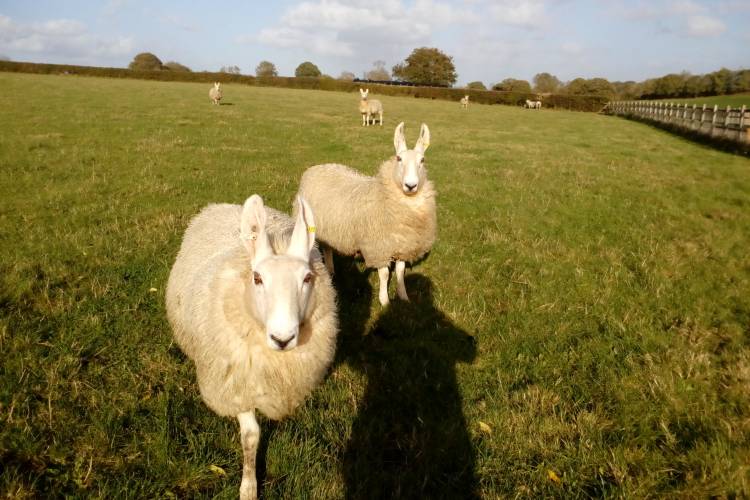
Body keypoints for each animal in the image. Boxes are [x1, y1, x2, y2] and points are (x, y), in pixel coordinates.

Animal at [166, 194, 338, 500]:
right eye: (257, 278)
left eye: (307, 278)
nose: (283, 338)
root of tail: (226, 205)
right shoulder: (238, 384)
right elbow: (251, 436)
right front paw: (248, 486)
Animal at [297, 122, 436, 306]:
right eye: (399, 159)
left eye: (422, 160)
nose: (411, 185)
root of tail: (318, 167)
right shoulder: (378, 246)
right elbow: (384, 274)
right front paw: (384, 300)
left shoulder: (403, 245)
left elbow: (400, 271)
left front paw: (403, 296)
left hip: (329, 227)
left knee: (327, 247)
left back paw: (331, 269)